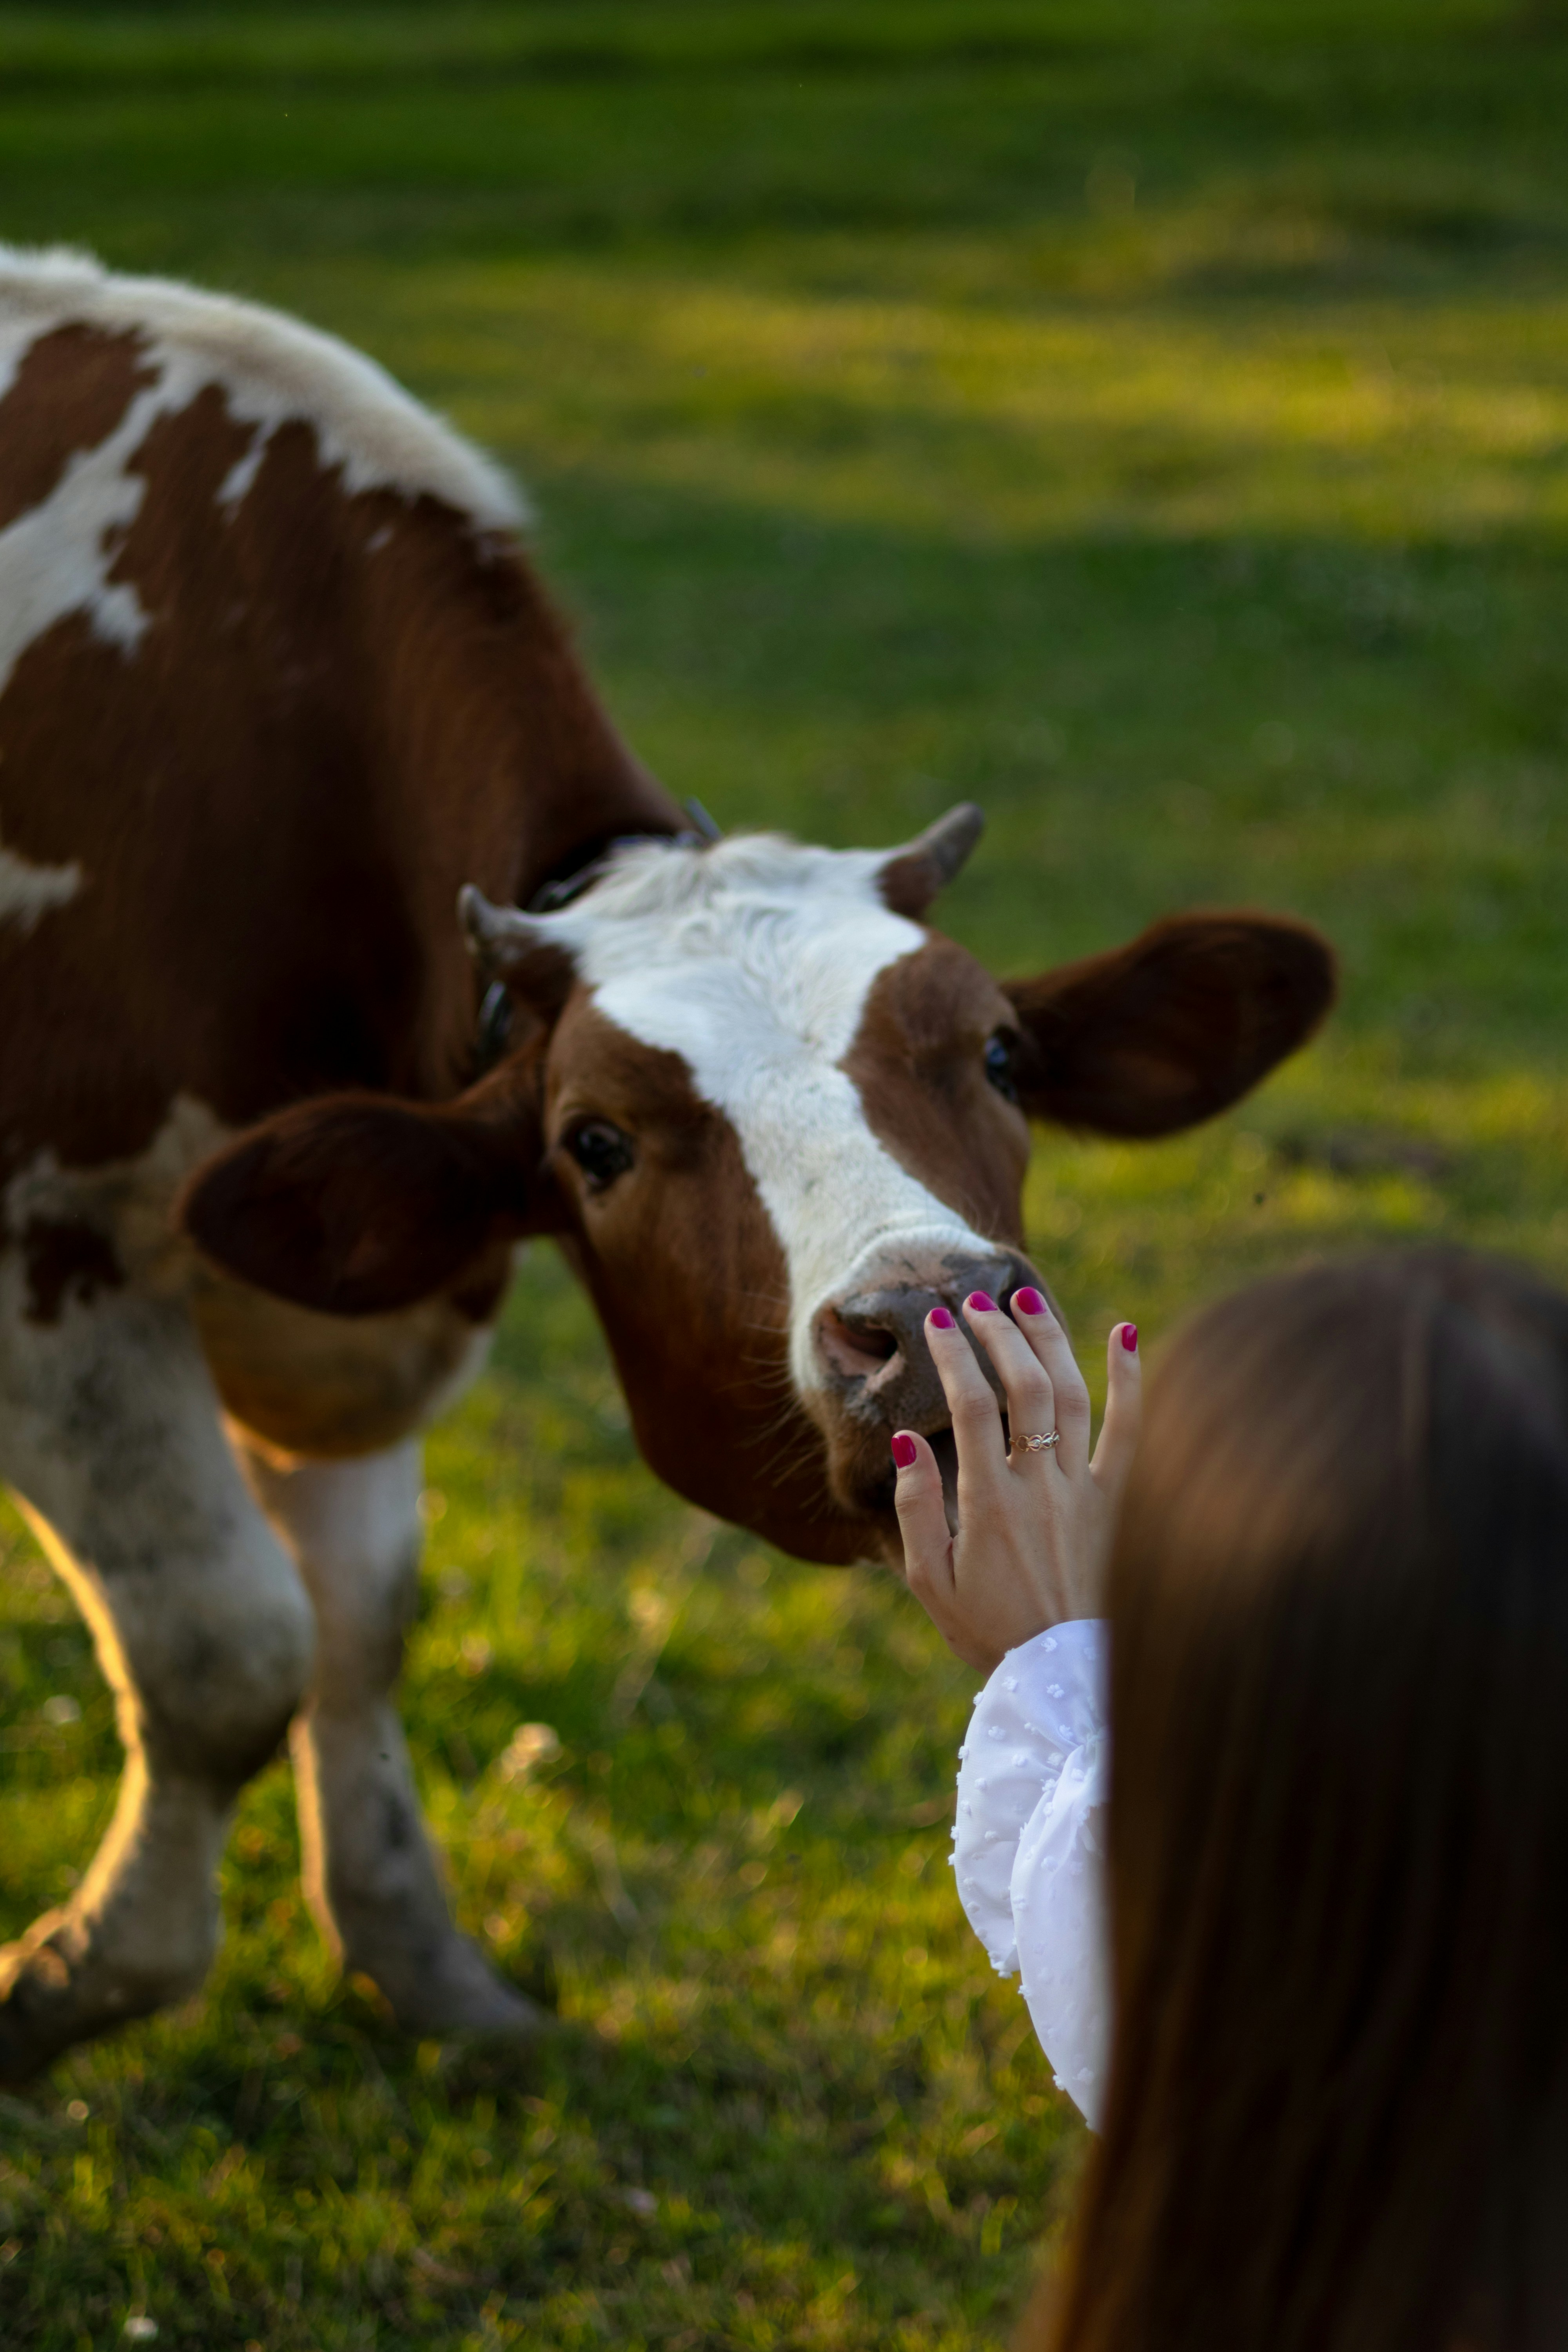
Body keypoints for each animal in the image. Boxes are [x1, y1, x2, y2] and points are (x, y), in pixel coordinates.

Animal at [0, 249, 1334, 2081]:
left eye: (999, 1053)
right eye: (595, 1140)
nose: (930, 1315)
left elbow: (358, 1626)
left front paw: (424, 1966)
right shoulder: (46, 1252)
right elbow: (225, 1646)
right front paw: (79, 1971)